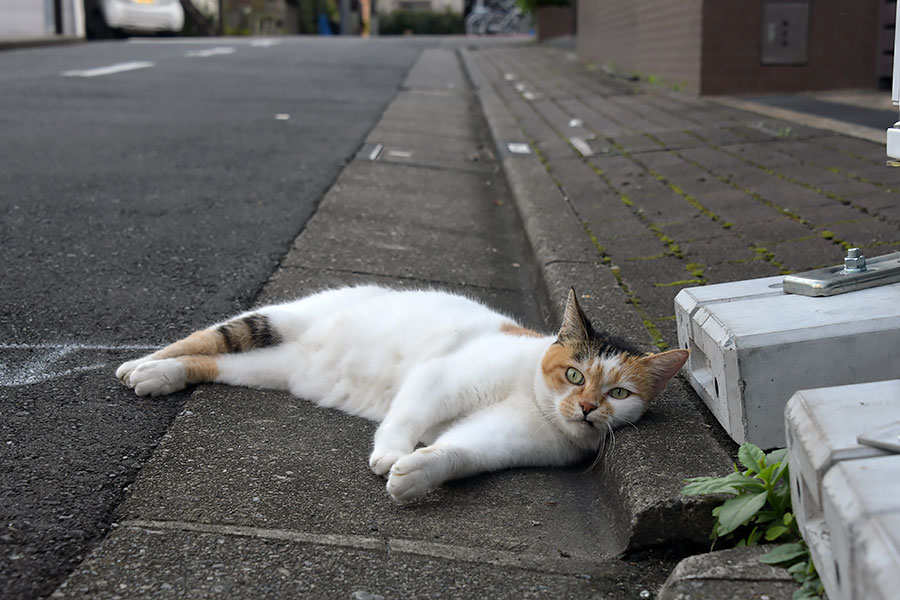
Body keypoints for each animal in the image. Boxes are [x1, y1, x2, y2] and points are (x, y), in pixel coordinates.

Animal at [116, 286, 684, 502]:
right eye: (574, 376)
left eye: (617, 392)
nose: (586, 408)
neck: (532, 397)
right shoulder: (442, 378)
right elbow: (408, 416)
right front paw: (390, 454)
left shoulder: (502, 439)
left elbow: (460, 451)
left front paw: (414, 474)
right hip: (275, 320)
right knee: (206, 337)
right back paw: (139, 366)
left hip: (272, 370)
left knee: (216, 363)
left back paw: (161, 376)